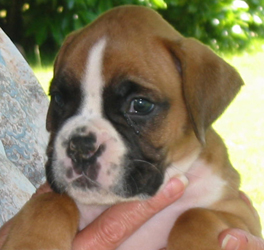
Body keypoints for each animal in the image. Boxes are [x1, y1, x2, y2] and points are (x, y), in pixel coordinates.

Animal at [2, 4, 262, 250]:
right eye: (58, 99)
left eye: (140, 105)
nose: (80, 147)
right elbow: (51, 202)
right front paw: (32, 243)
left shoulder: (241, 216)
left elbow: (194, 215)